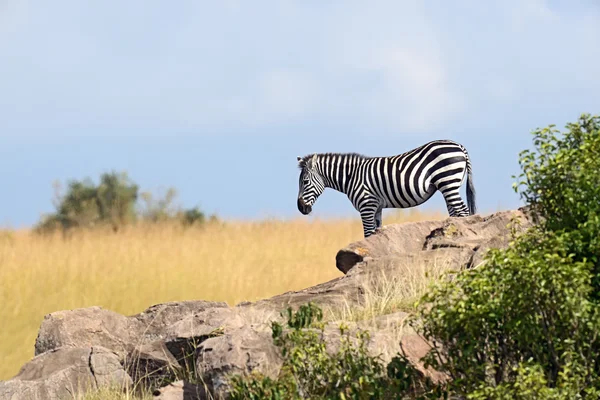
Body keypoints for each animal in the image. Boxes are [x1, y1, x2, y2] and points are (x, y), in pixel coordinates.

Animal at [298, 140, 476, 238]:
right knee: (455, 212)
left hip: (448, 181)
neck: (351, 176)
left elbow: (367, 234)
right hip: (449, 185)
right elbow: (375, 233)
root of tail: (459, 146)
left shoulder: (366, 205)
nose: (301, 209)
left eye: (305, 182)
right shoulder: (376, 207)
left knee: (463, 211)